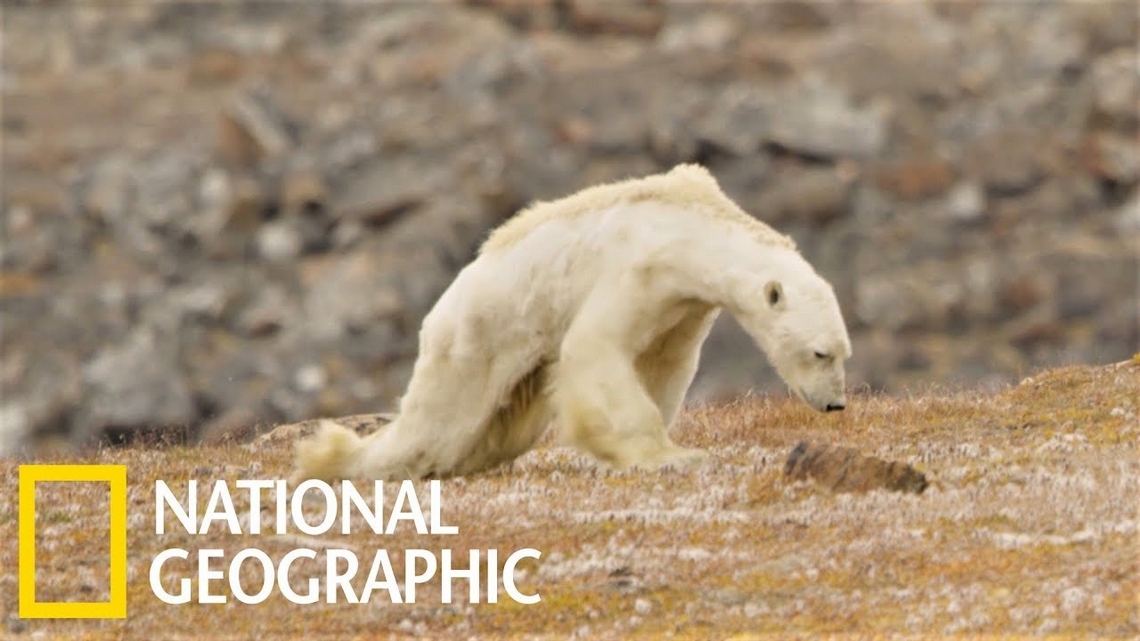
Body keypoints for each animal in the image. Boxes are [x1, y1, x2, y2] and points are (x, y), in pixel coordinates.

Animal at [295, 164, 851, 480]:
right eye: (820, 352)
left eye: (843, 353)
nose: (835, 404)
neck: (691, 226)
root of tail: (439, 311)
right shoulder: (637, 268)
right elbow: (596, 348)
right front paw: (667, 455)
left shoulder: (684, 305)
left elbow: (664, 363)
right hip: (477, 338)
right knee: (438, 426)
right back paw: (332, 460)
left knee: (497, 432)